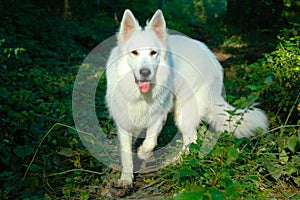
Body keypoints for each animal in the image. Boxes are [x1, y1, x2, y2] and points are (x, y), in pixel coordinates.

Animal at [105, 9, 268, 187]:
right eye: (134, 52)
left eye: (153, 53)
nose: (145, 72)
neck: (141, 94)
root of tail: (210, 55)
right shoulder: (124, 121)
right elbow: (127, 153)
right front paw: (126, 178)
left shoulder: (159, 117)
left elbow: (149, 142)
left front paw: (142, 153)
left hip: (185, 113)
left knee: (191, 139)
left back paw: (177, 162)